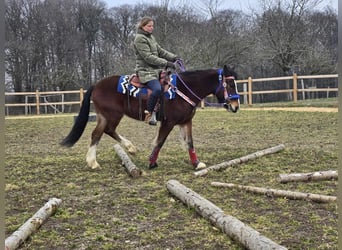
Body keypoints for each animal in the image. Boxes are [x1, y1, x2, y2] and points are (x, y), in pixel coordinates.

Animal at [60, 64, 239, 170]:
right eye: (230, 84)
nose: (235, 106)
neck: (183, 90)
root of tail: (96, 84)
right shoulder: (169, 122)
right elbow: (160, 142)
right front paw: (152, 162)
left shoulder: (186, 121)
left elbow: (190, 143)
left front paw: (196, 163)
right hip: (111, 115)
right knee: (99, 133)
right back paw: (94, 162)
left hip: (107, 116)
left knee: (105, 131)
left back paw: (128, 148)